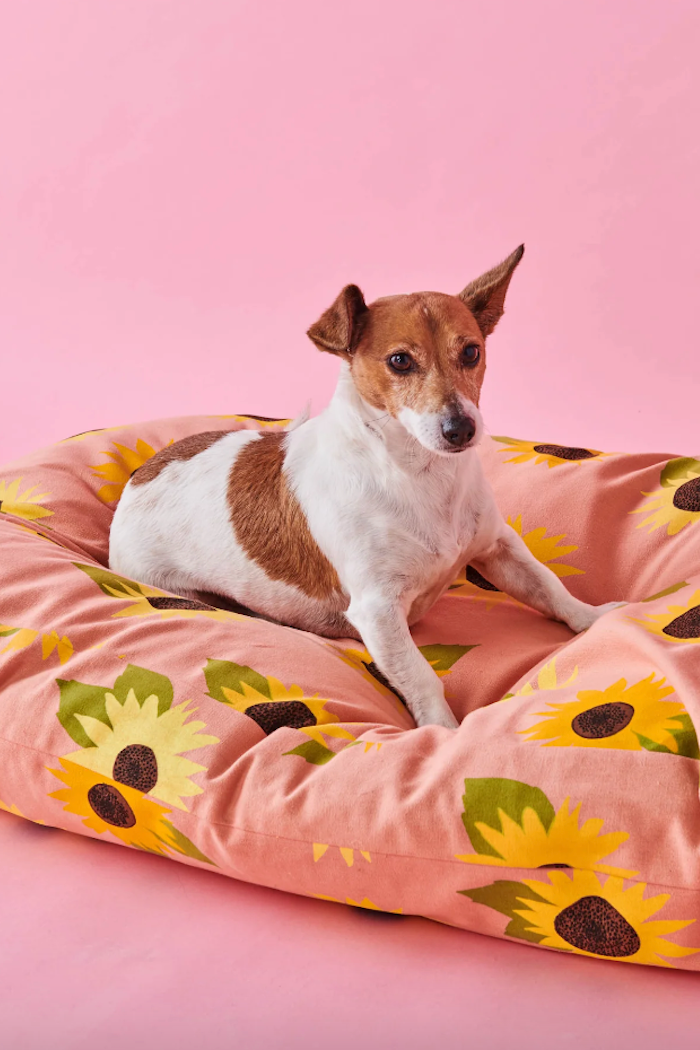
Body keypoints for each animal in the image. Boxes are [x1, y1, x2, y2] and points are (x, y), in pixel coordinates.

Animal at [108, 241, 617, 726]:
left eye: (471, 352)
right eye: (400, 361)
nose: (461, 428)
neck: (421, 474)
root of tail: (142, 471)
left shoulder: (499, 547)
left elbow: (549, 585)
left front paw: (595, 619)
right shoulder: (378, 611)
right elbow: (422, 676)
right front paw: (444, 732)